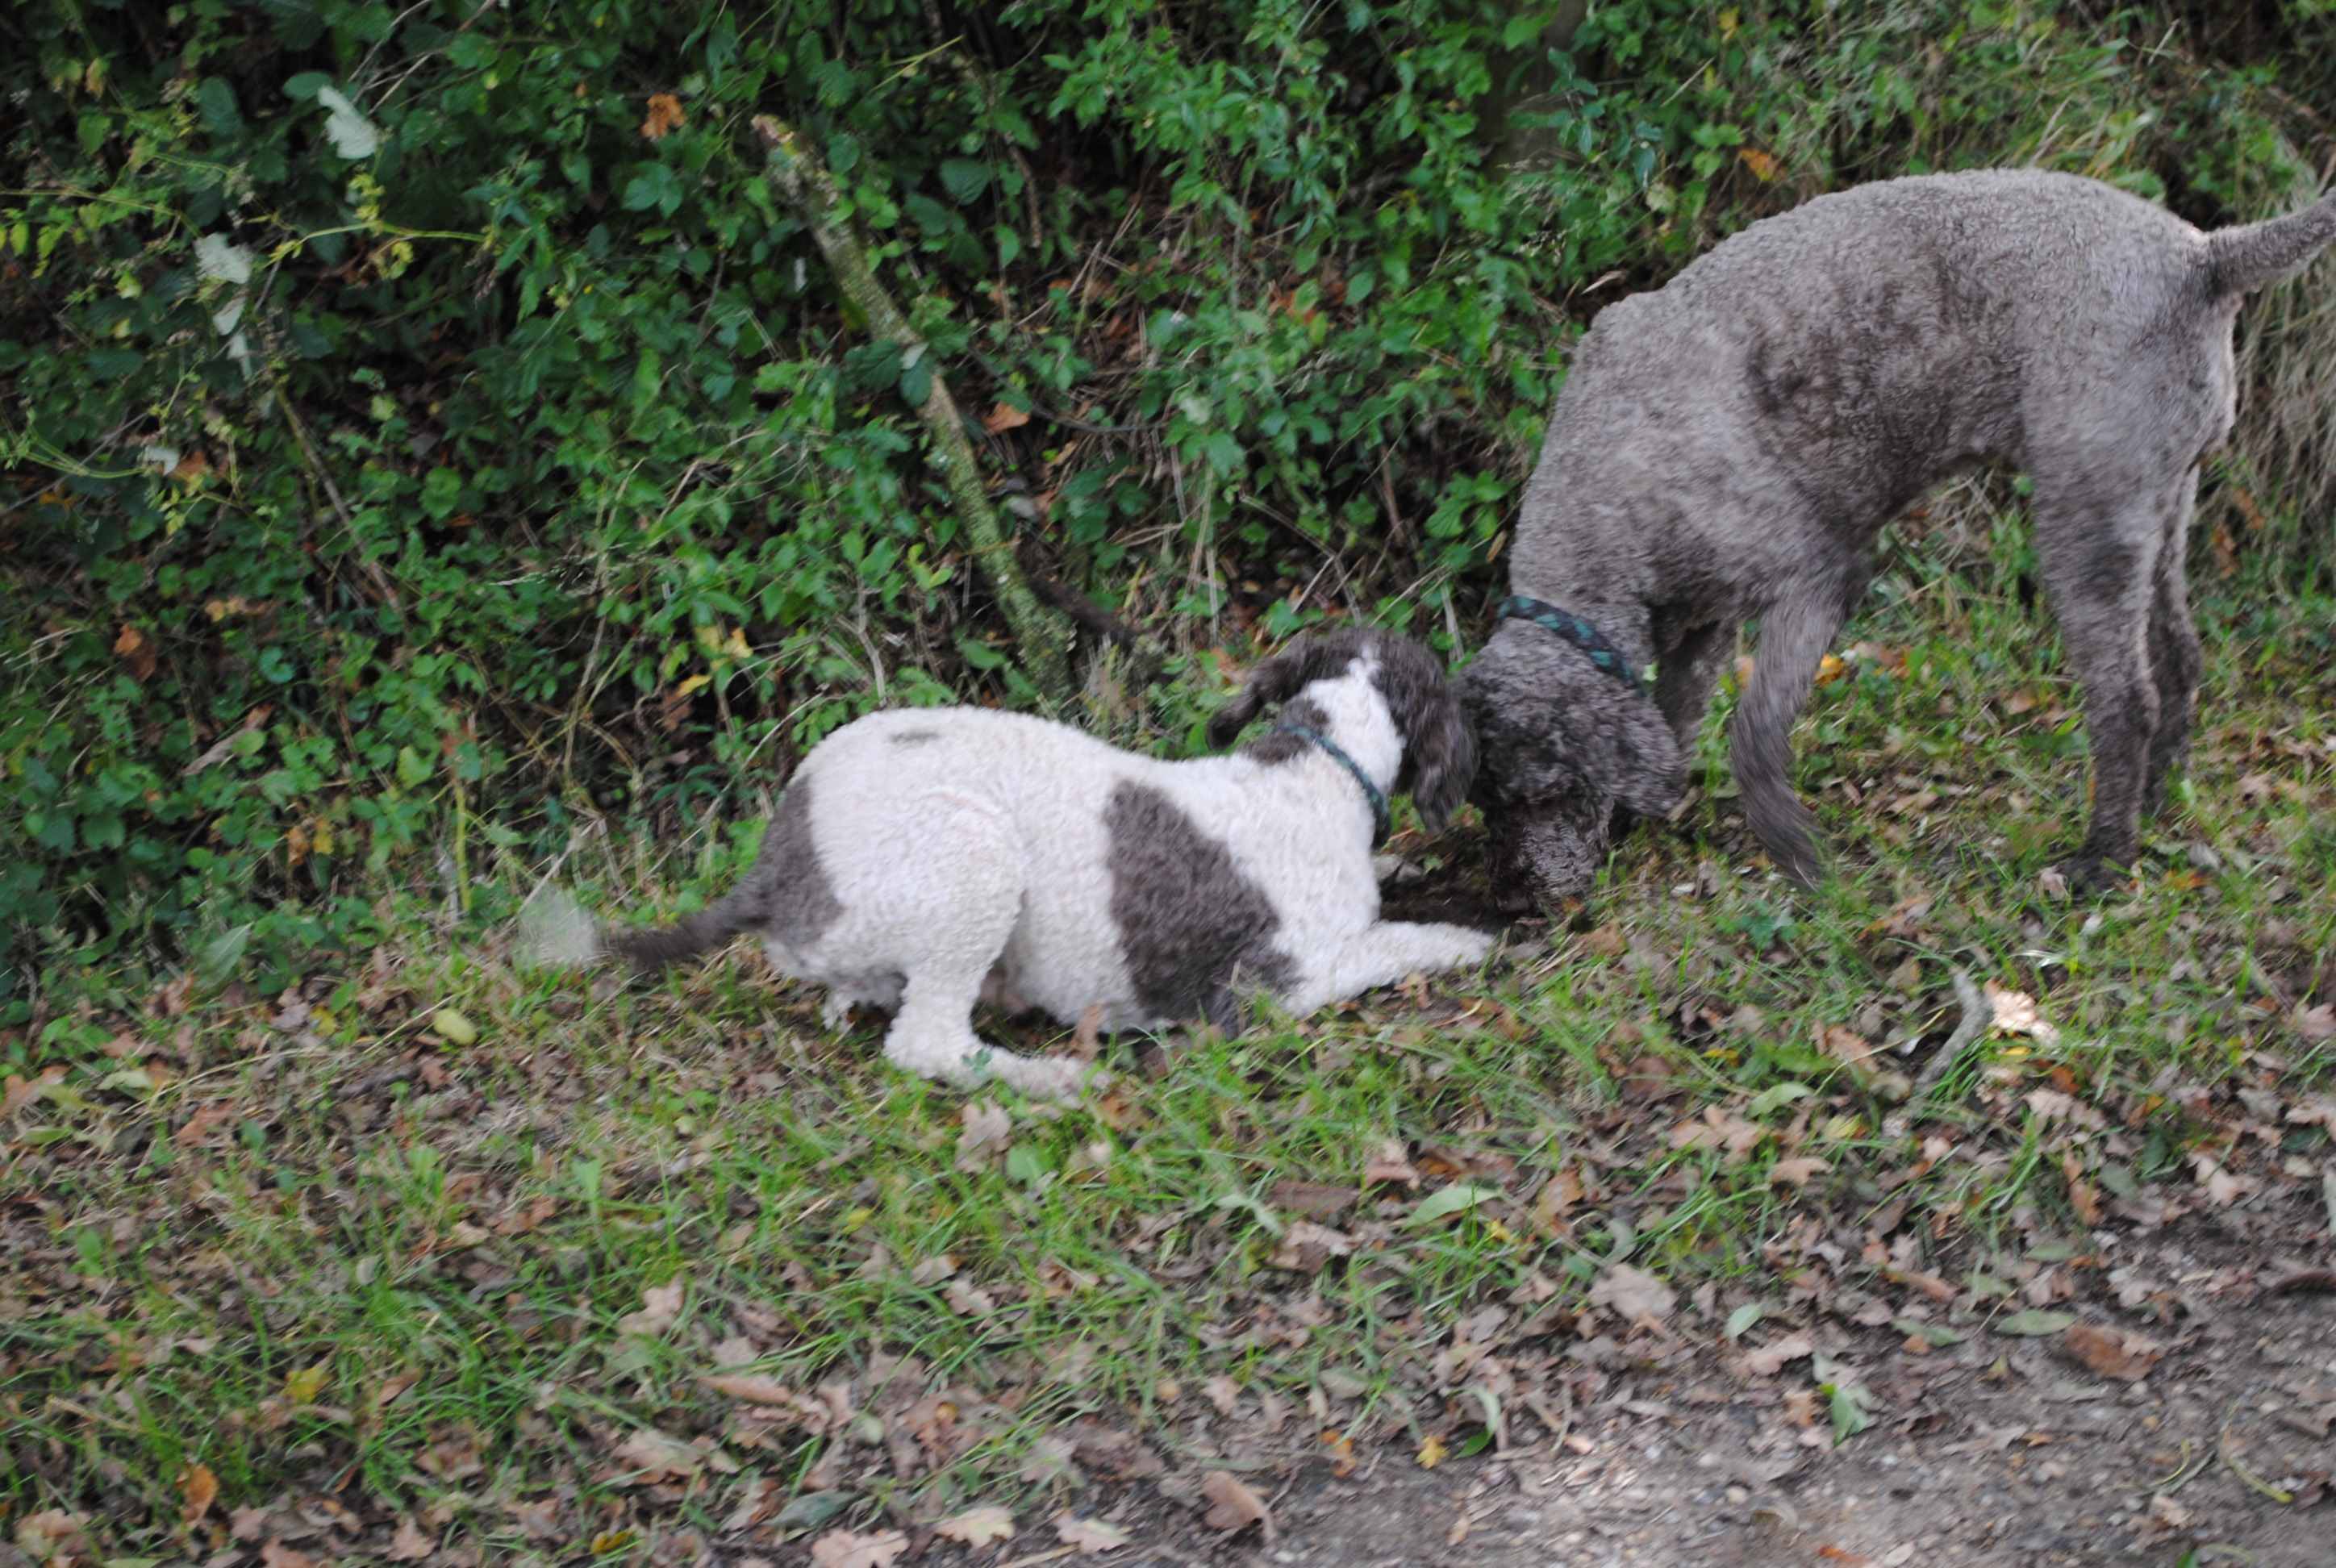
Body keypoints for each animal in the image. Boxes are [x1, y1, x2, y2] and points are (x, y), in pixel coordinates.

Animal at [520, 621, 1485, 1093]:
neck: (1318, 762)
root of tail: (777, 862)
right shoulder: (1271, 985)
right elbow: (1389, 945)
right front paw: (1463, 939)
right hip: (972, 864)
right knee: (928, 1046)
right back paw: (1051, 1078)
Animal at [1458, 165, 2336, 907]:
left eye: (1542, 792)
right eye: (1485, 804)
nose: (1514, 900)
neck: (1609, 481)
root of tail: (2202, 255)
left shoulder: (1817, 578)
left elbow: (1752, 733)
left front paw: (1797, 855)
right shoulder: (1701, 625)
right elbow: (1679, 715)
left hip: (2085, 526)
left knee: (2126, 701)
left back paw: (2101, 860)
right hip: (2160, 510)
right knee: (2181, 659)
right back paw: (2158, 802)